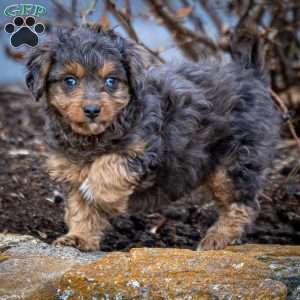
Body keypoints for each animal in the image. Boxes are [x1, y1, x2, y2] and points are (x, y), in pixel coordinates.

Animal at [25, 25, 278, 251]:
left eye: (111, 81)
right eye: (69, 81)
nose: (92, 110)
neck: (95, 136)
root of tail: (249, 73)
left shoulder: (145, 149)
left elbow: (110, 164)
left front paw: (99, 194)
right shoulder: (71, 169)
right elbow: (81, 208)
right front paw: (79, 237)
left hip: (234, 161)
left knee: (242, 204)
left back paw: (217, 238)